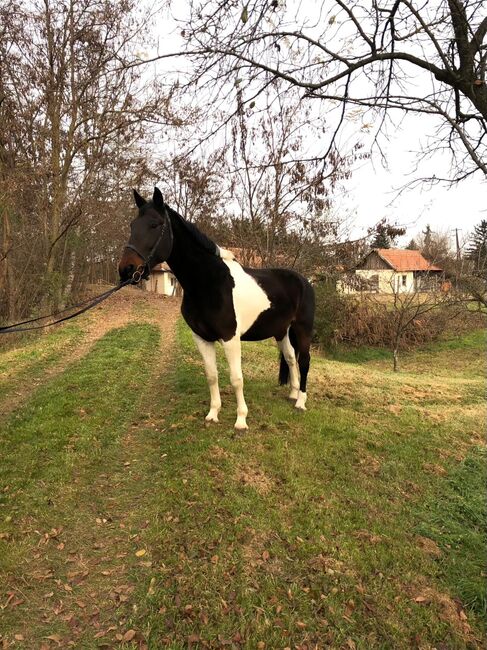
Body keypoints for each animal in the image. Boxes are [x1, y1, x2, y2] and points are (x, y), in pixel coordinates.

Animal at [120, 186, 314, 430]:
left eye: (154, 224)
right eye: (132, 225)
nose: (126, 269)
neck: (209, 283)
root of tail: (304, 280)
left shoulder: (230, 338)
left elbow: (236, 378)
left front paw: (241, 420)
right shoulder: (202, 338)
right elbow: (212, 375)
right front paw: (213, 414)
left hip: (302, 329)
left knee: (304, 361)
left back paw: (301, 402)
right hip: (282, 332)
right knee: (290, 358)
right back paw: (293, 394)